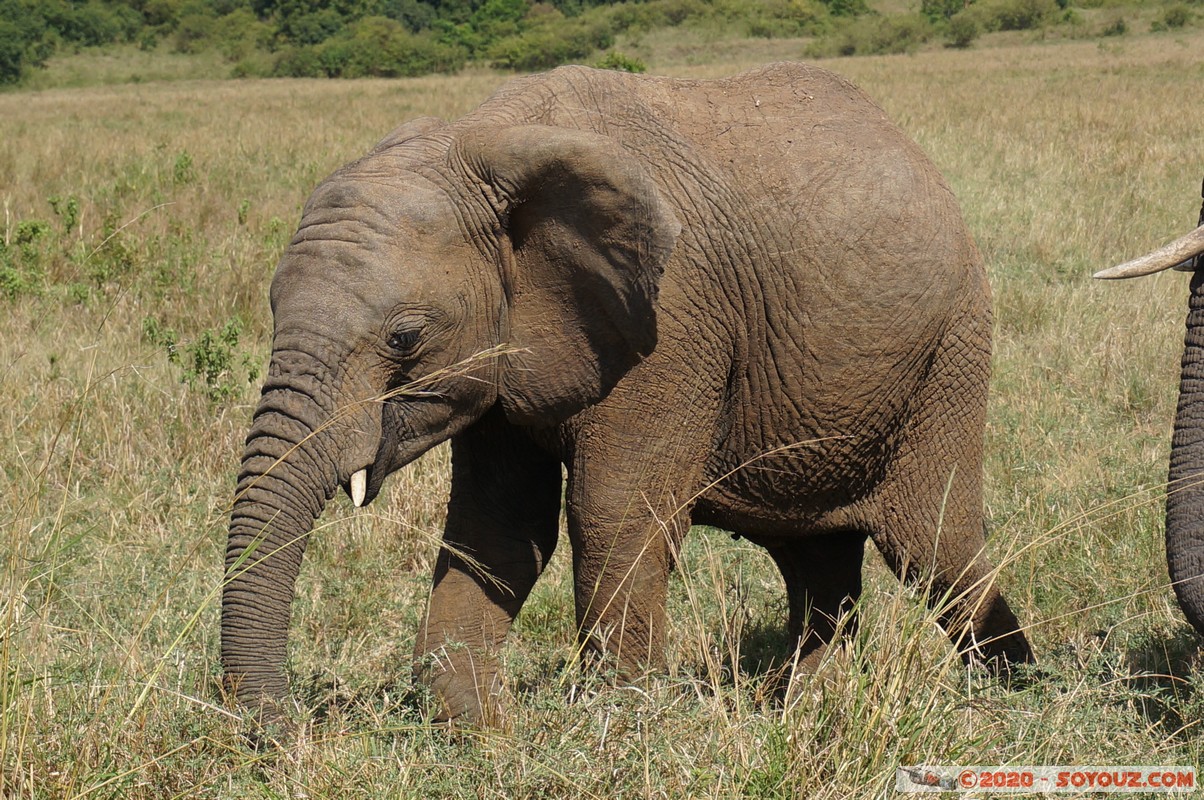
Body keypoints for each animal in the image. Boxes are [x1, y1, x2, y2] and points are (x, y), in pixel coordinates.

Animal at [223, 62, 1035, 722]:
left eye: (403, 338)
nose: (284, 725)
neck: (486, 142)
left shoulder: (670, 323)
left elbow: (614, 514)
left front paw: (617, 724)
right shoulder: (511, 345)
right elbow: (498, 530)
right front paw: (478, 732)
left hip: (950, 353)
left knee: (938, 550)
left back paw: (1013, 695)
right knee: (819, 560)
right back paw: (801, 708)